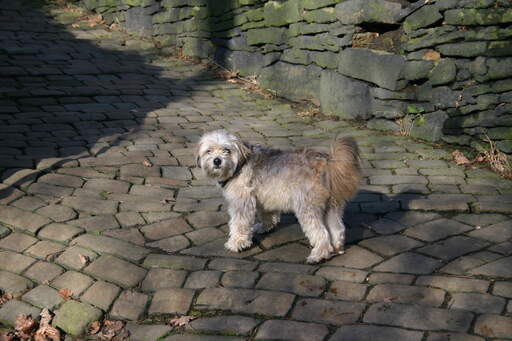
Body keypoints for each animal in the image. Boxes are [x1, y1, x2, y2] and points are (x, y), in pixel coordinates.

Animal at [196, 130, 360, 262]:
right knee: (338, 229)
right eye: (209, 151)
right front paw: (264, 227)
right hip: (332, 207)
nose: (217, 161)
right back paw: (338, 248)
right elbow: (268, 215)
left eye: (227, 150)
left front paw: (237, 243)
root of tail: (326, 162)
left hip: (307, 208)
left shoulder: (241, 202)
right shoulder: (264, 198)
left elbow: (239, 224)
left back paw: (319, 255)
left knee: (322, 234)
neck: (239, 164)